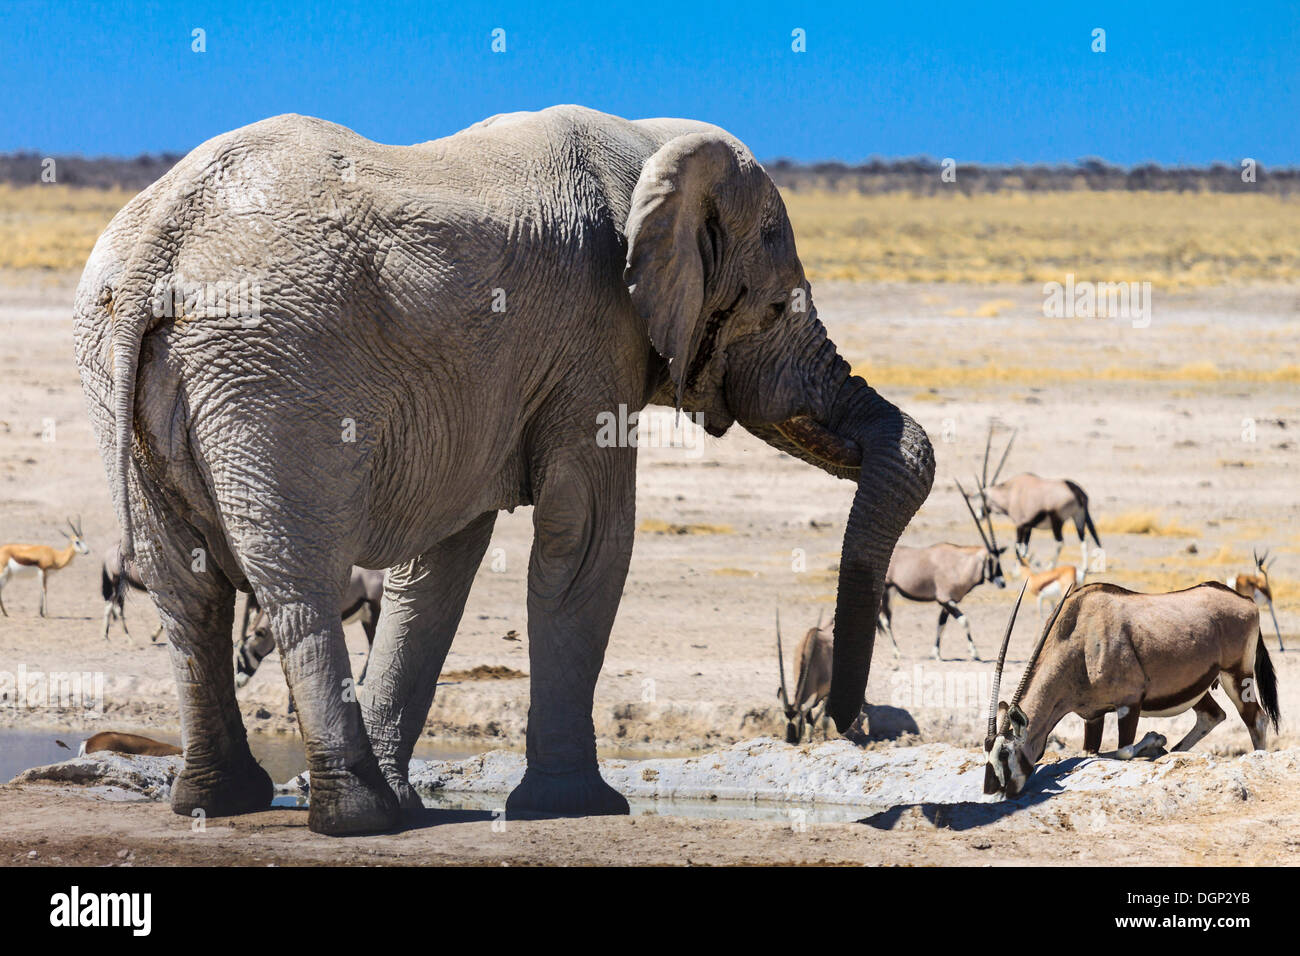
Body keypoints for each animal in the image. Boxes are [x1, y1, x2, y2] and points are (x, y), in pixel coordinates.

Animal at [769, 608, 832, 743]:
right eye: (783, 720)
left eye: (799, 721)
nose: (790, 740)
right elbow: (810, 723)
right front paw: (809, 740)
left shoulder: (829, 693)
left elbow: (825, 720)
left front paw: (825, 739)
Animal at [878, 478, 1008, 658]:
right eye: (992, 561)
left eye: (999, 559)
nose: (1002, 583)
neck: (959, 564)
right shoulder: (945, 599)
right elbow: (964, 621)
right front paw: (974, 652)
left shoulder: (948, 602)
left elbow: (941, 624)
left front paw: (936, 652)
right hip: (886, 590)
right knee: (886, 620)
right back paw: (897, 651)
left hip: (891, 591)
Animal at [972, 429, 1102, 572]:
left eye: (984, 498)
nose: (979, 515)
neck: (1010, 493)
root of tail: (1076, 491)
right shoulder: (1028, 526)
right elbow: (1024, 548)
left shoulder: (1020, 525)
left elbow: (1017, 545)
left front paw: (1021, 566)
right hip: (1078, 516)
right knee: (1083, 539)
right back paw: (1083, 568)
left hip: (1057, 521)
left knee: (1060, 542)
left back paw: (1050, 566)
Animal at [982, 582, 1279, 801]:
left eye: (1005, 753)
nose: (991, 792)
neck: (1080, 635)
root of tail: (1247, 601)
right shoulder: (1093, 715)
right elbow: (1090, 753)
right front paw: (1158, 746)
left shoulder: (1130, 704)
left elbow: (1122, 751)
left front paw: (1156, 739)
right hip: (1199, 687)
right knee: (1213, 715)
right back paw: (1171, 752)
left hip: (1237, 676)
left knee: (1256, 719)